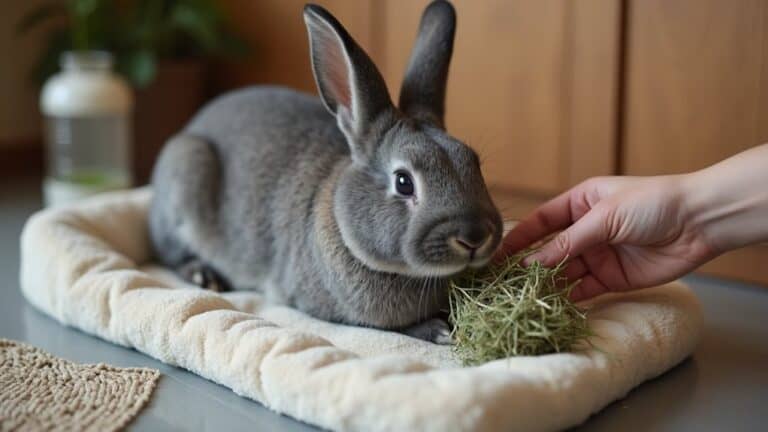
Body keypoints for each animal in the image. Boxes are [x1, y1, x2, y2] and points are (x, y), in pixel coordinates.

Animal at [148, 0, 503, 344]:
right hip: (186, 171)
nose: (474, 237)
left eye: (473, 162)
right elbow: (393, 327)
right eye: (404, 182)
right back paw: (204, 276)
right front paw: (439, 330)